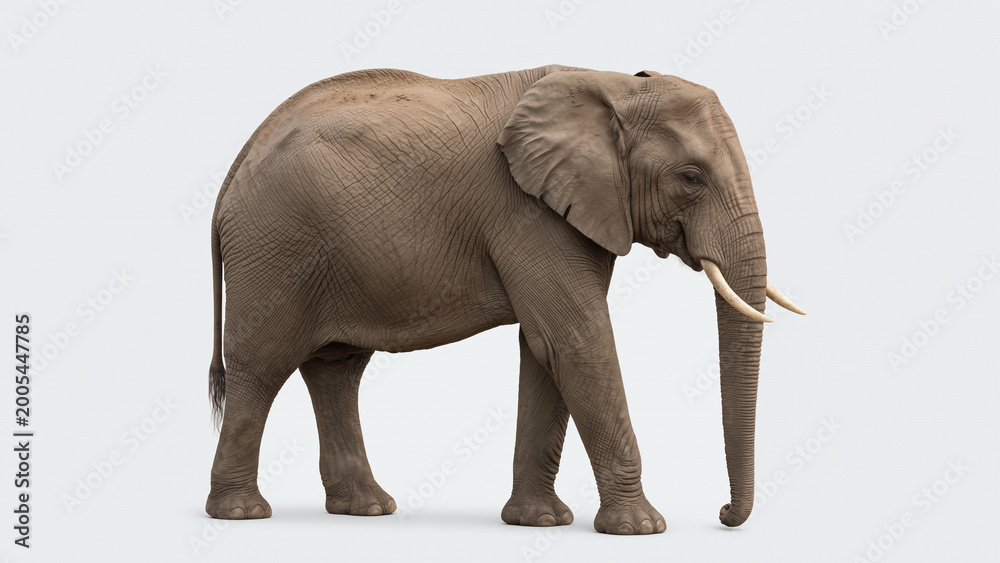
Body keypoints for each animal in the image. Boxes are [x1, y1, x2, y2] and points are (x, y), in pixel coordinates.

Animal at [204, 64, 805, 535]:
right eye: (691, 177)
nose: (724, 514)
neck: (612, 84)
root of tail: (236, 164)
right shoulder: (526, 211)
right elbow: (575, 340)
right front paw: (640, 529)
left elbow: (544, 350)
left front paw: (539, 522)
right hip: (274, 245)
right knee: (261, 366)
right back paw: (241, 514)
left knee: (337, 369)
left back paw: (366, 509)